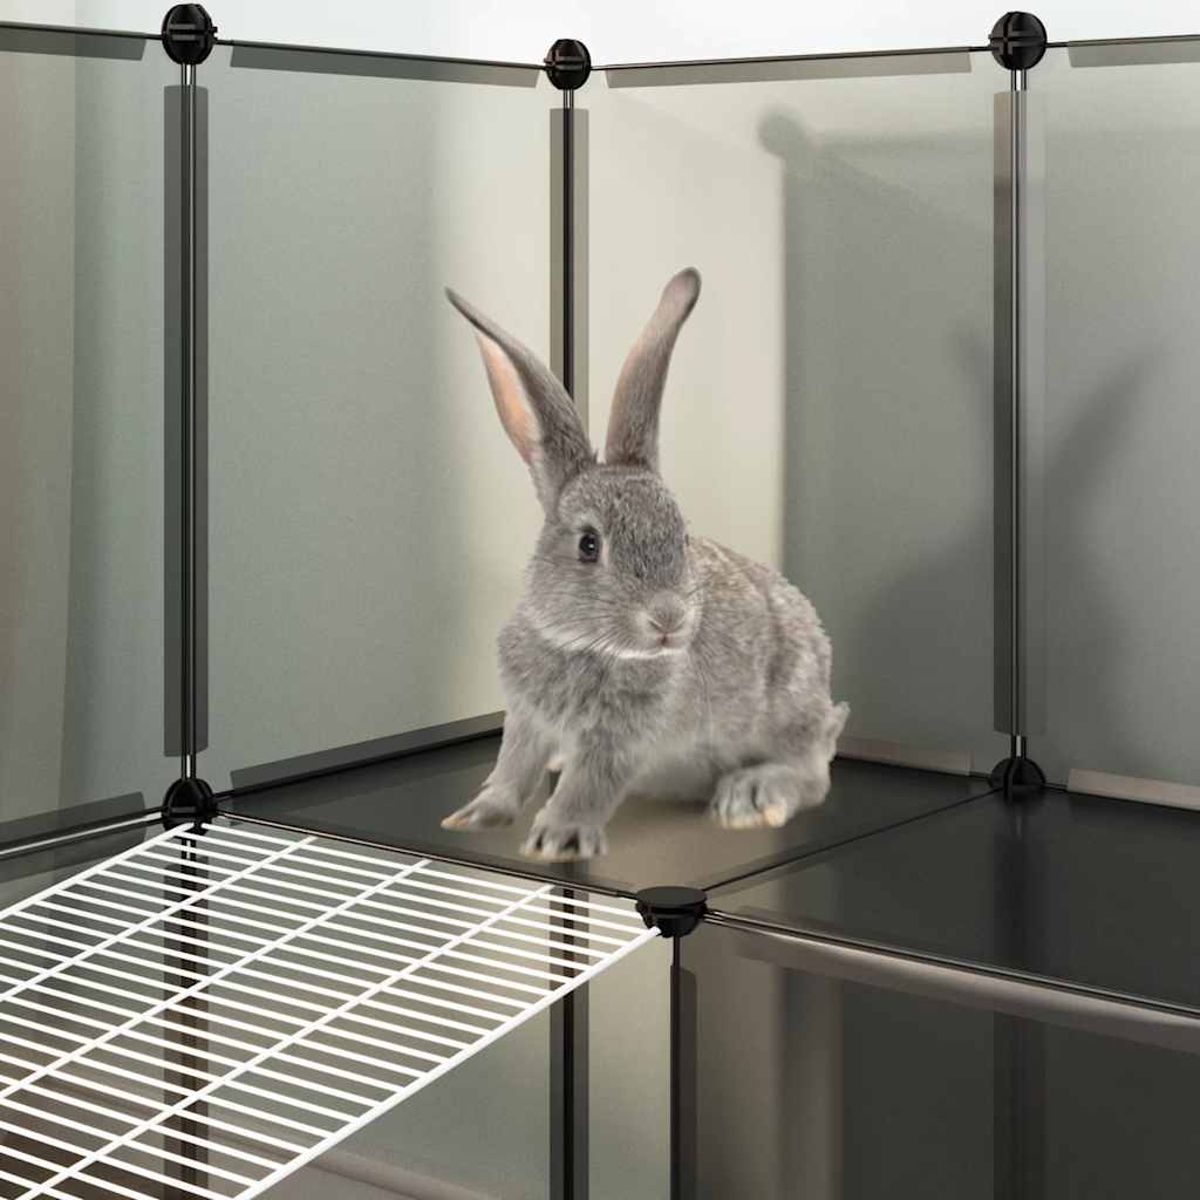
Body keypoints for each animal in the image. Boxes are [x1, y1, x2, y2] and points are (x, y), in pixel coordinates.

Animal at [442, 267, 849, 861]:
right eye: (589, 545)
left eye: (681, 535)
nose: (669, 619)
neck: (584, 646)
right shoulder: (525, 719)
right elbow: (512, 769)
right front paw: (473, 817)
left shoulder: (624, 738)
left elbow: (589, 783)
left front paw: (557, 840)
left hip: (790, 704)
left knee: (811, 773)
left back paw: (748, 798)